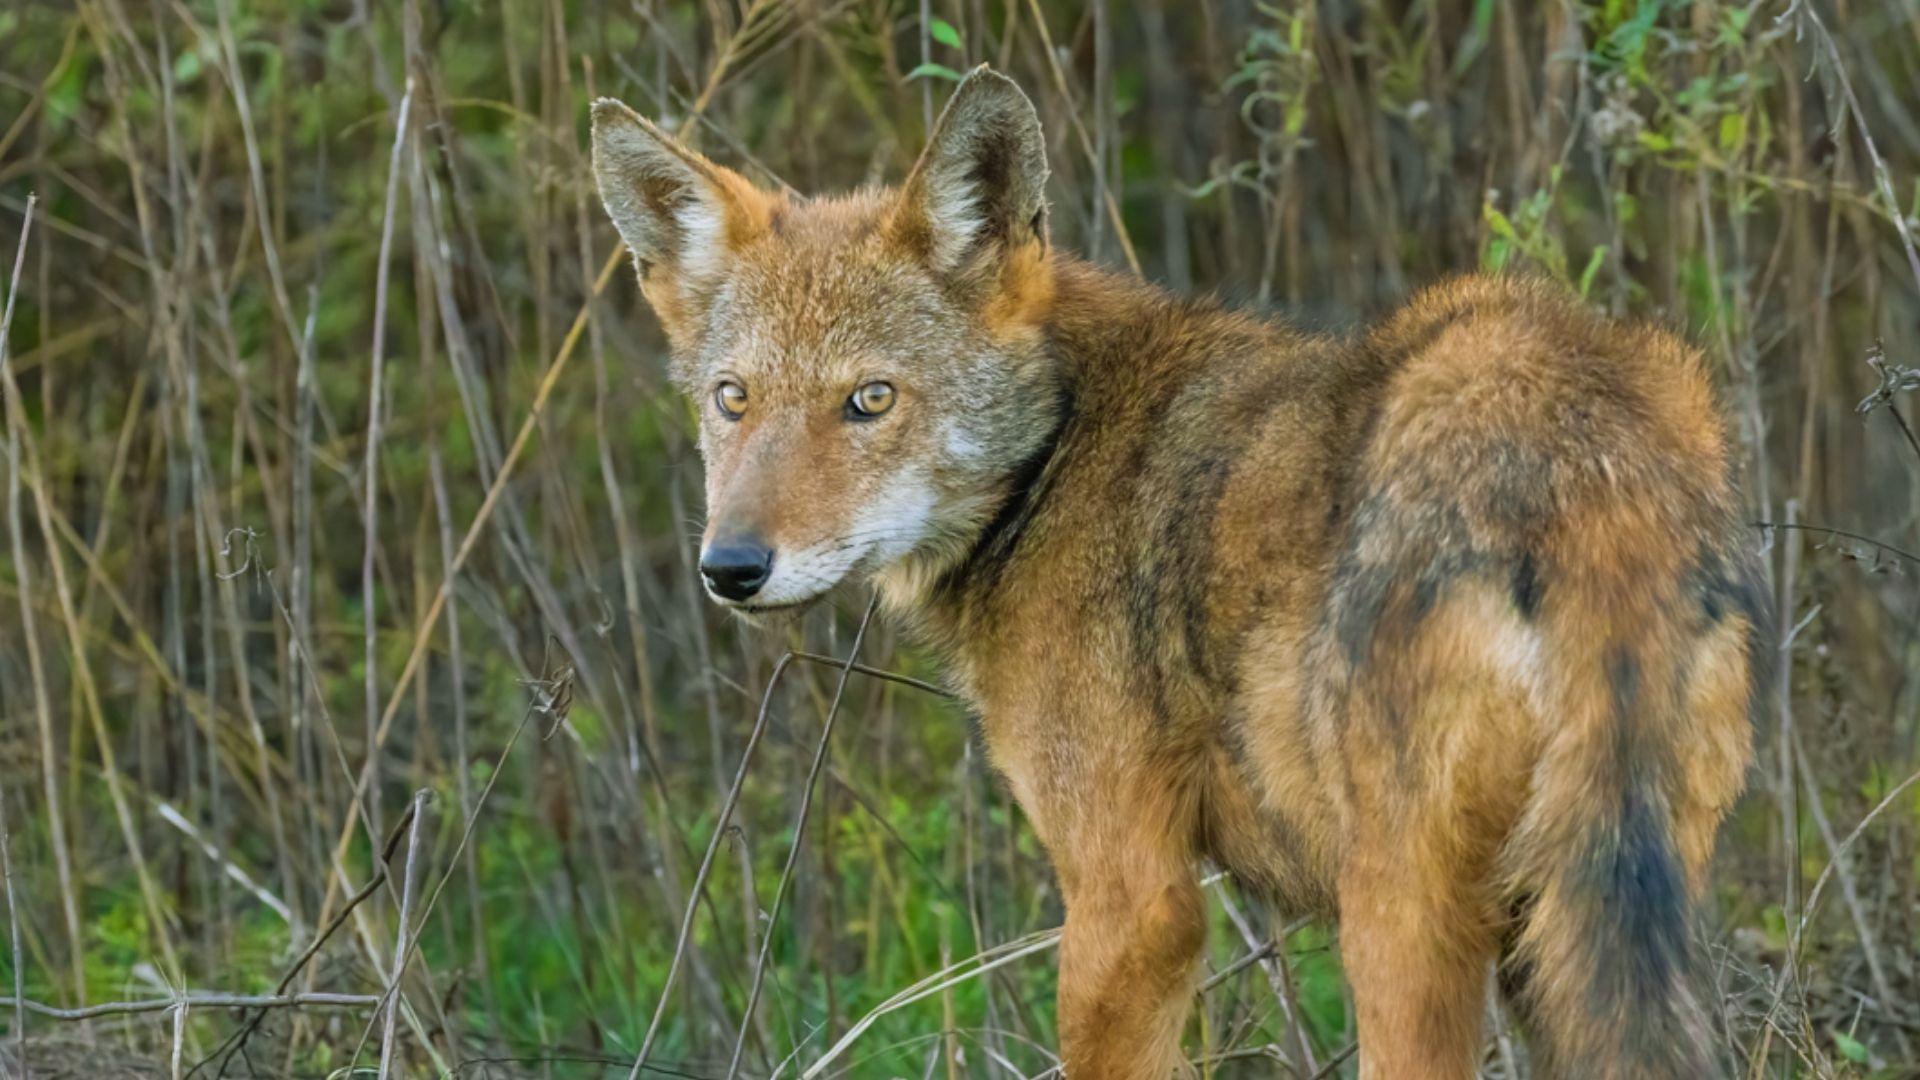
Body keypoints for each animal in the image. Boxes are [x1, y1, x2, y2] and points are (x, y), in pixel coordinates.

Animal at [591, 66, 1770, 1079]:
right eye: (732, 399)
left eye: (869, 400)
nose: (732, 568)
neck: (1059, 450)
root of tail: (1584, 459)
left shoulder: (1131, 899)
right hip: (1587, 924)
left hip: (1403, 925)